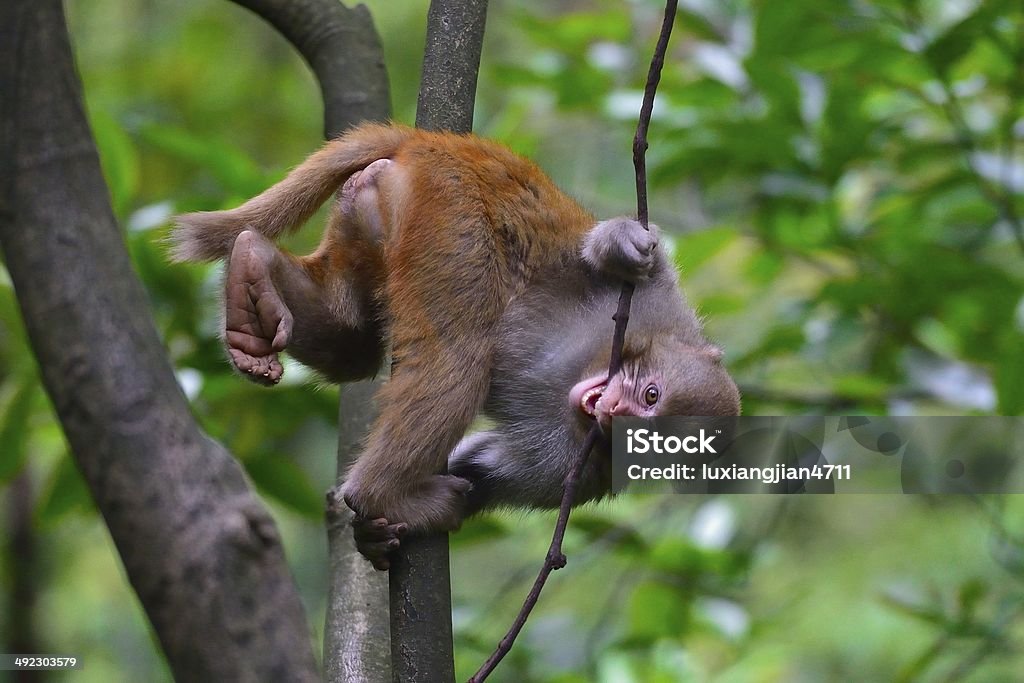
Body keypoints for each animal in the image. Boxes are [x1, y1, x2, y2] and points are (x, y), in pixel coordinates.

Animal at [172, 121, 741, 565]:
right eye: (650, 396)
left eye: (650, 437)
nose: (615, 410)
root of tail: (437, 144)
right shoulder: (659, 308)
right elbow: (607, 258)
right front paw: (624, 244)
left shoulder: (568, 475)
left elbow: (484, 473)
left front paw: (374, 536)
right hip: (450, 211)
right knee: (458, 356)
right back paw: (378, 493)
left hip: (373, 213)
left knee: (354, 348)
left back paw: (253, 276)